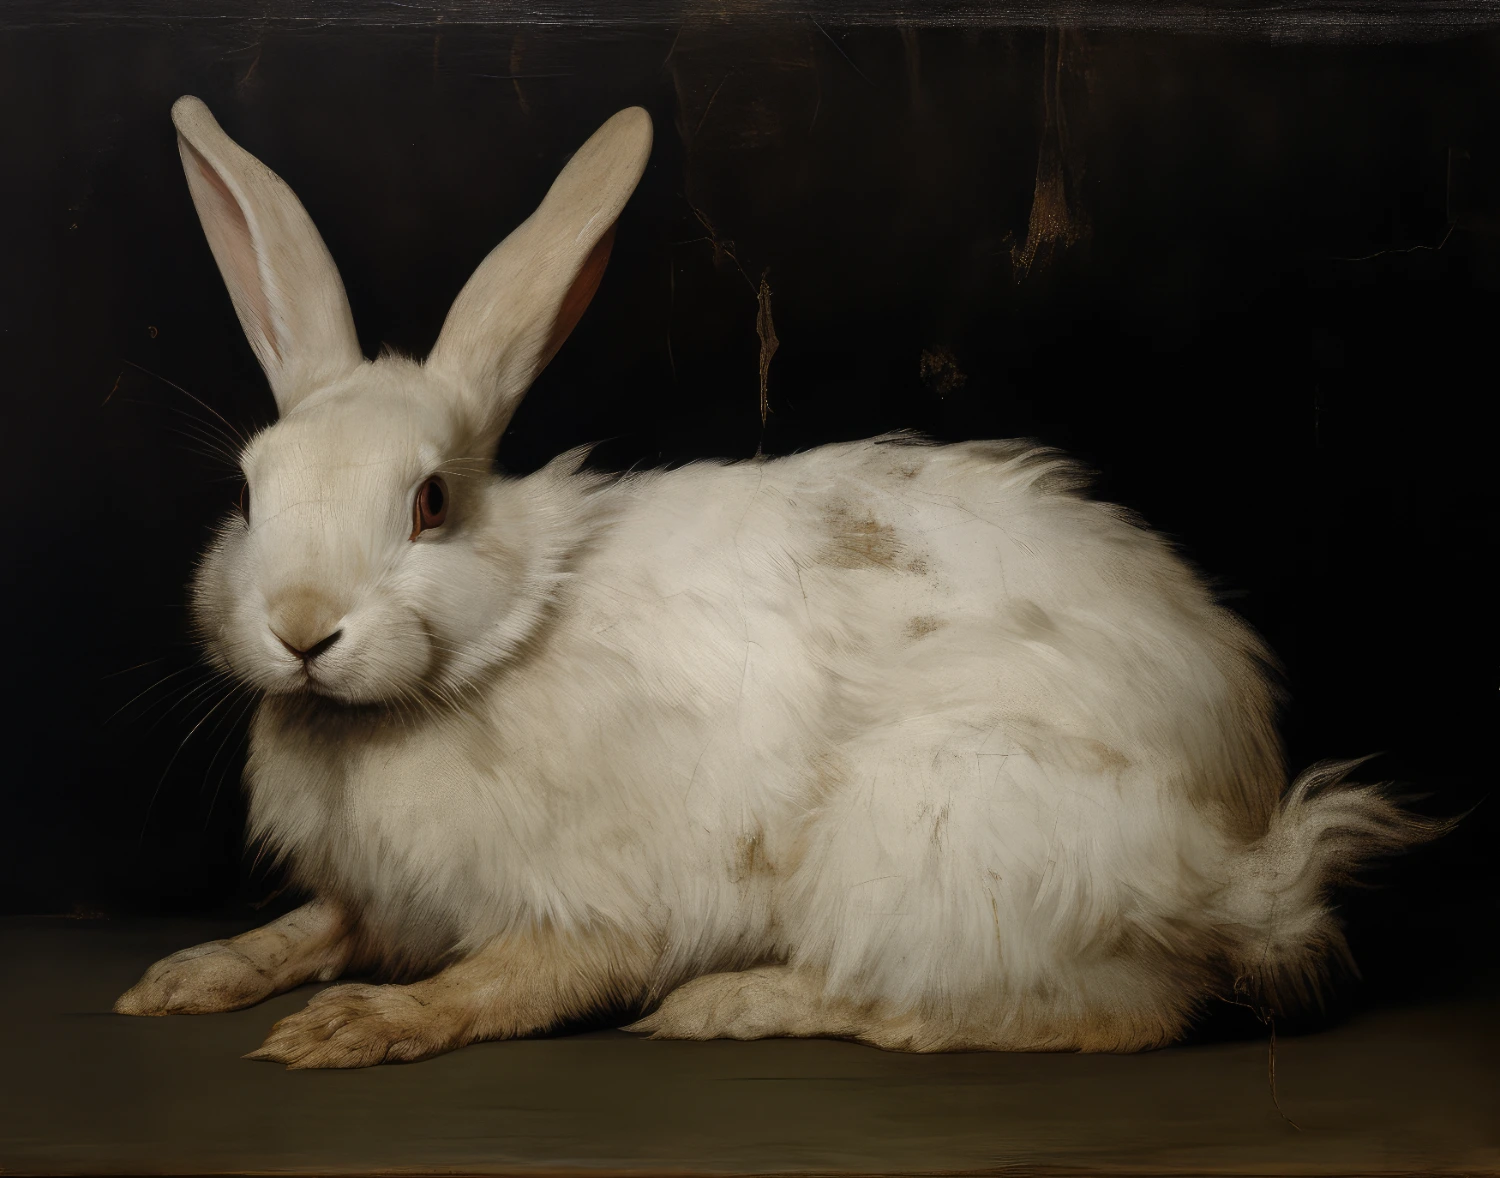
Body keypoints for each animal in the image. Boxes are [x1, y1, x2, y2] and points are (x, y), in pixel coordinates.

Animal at [114, 95, 1439, 1070]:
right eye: (249, 494)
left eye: (430, 501)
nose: (301, 628)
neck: (502, 640)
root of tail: (1241, 858)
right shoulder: (376, 901)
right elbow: (318, 925)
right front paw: (189, 976)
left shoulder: (595, 906)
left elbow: (510, 980)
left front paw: (356, 1026)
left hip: (932, 838)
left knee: (1087, 1013)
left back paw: (737, 1003)